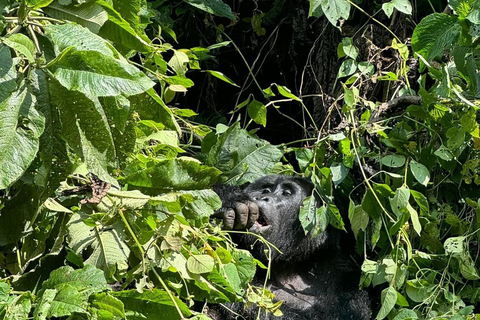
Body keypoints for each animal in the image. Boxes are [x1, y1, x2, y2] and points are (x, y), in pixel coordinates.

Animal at [210, 175, 372, 320]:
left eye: (286, 193)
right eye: (265, 190)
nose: (262, 198)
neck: (295, 265)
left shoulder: (349, 285)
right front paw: (231, 199)